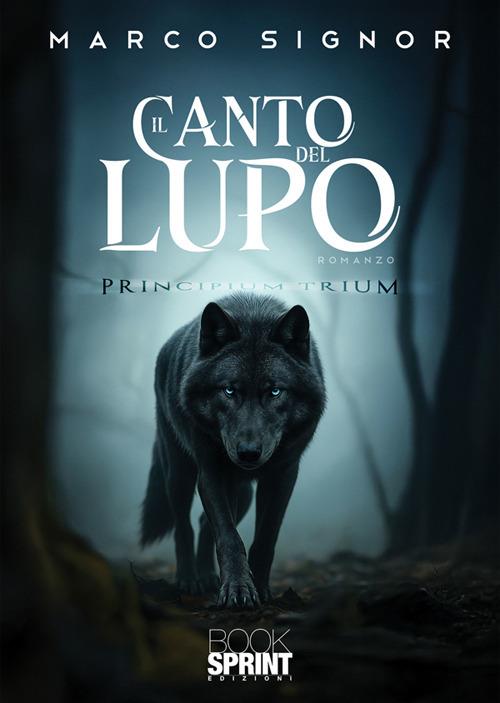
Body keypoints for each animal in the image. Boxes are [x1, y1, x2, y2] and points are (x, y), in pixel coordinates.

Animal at [140, 293, 325, 608]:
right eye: (229, 390)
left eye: (275, 391)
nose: (248, 453)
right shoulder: (211, 471)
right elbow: (229, 537)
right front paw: (238, 590)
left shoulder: (283, 474)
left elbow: (265, 537)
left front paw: (259, 588)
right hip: (178, 474)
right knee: (184, 526)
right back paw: (189, 580)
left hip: (244, 494)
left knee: (204, 523)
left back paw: (207, 577)